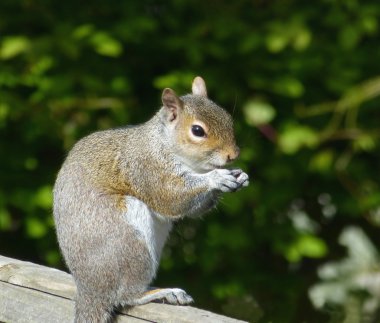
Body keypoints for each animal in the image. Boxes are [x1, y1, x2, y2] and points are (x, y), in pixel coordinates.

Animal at [52, 77, 249, 322]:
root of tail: (90, 291)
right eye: (197, 130)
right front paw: (217, 177)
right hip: (128, 240)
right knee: (126, 295)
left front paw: (240, 176)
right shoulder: (147, 168)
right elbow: (171, 198)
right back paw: (162, 292)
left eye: (228, 118)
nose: (233, 155)